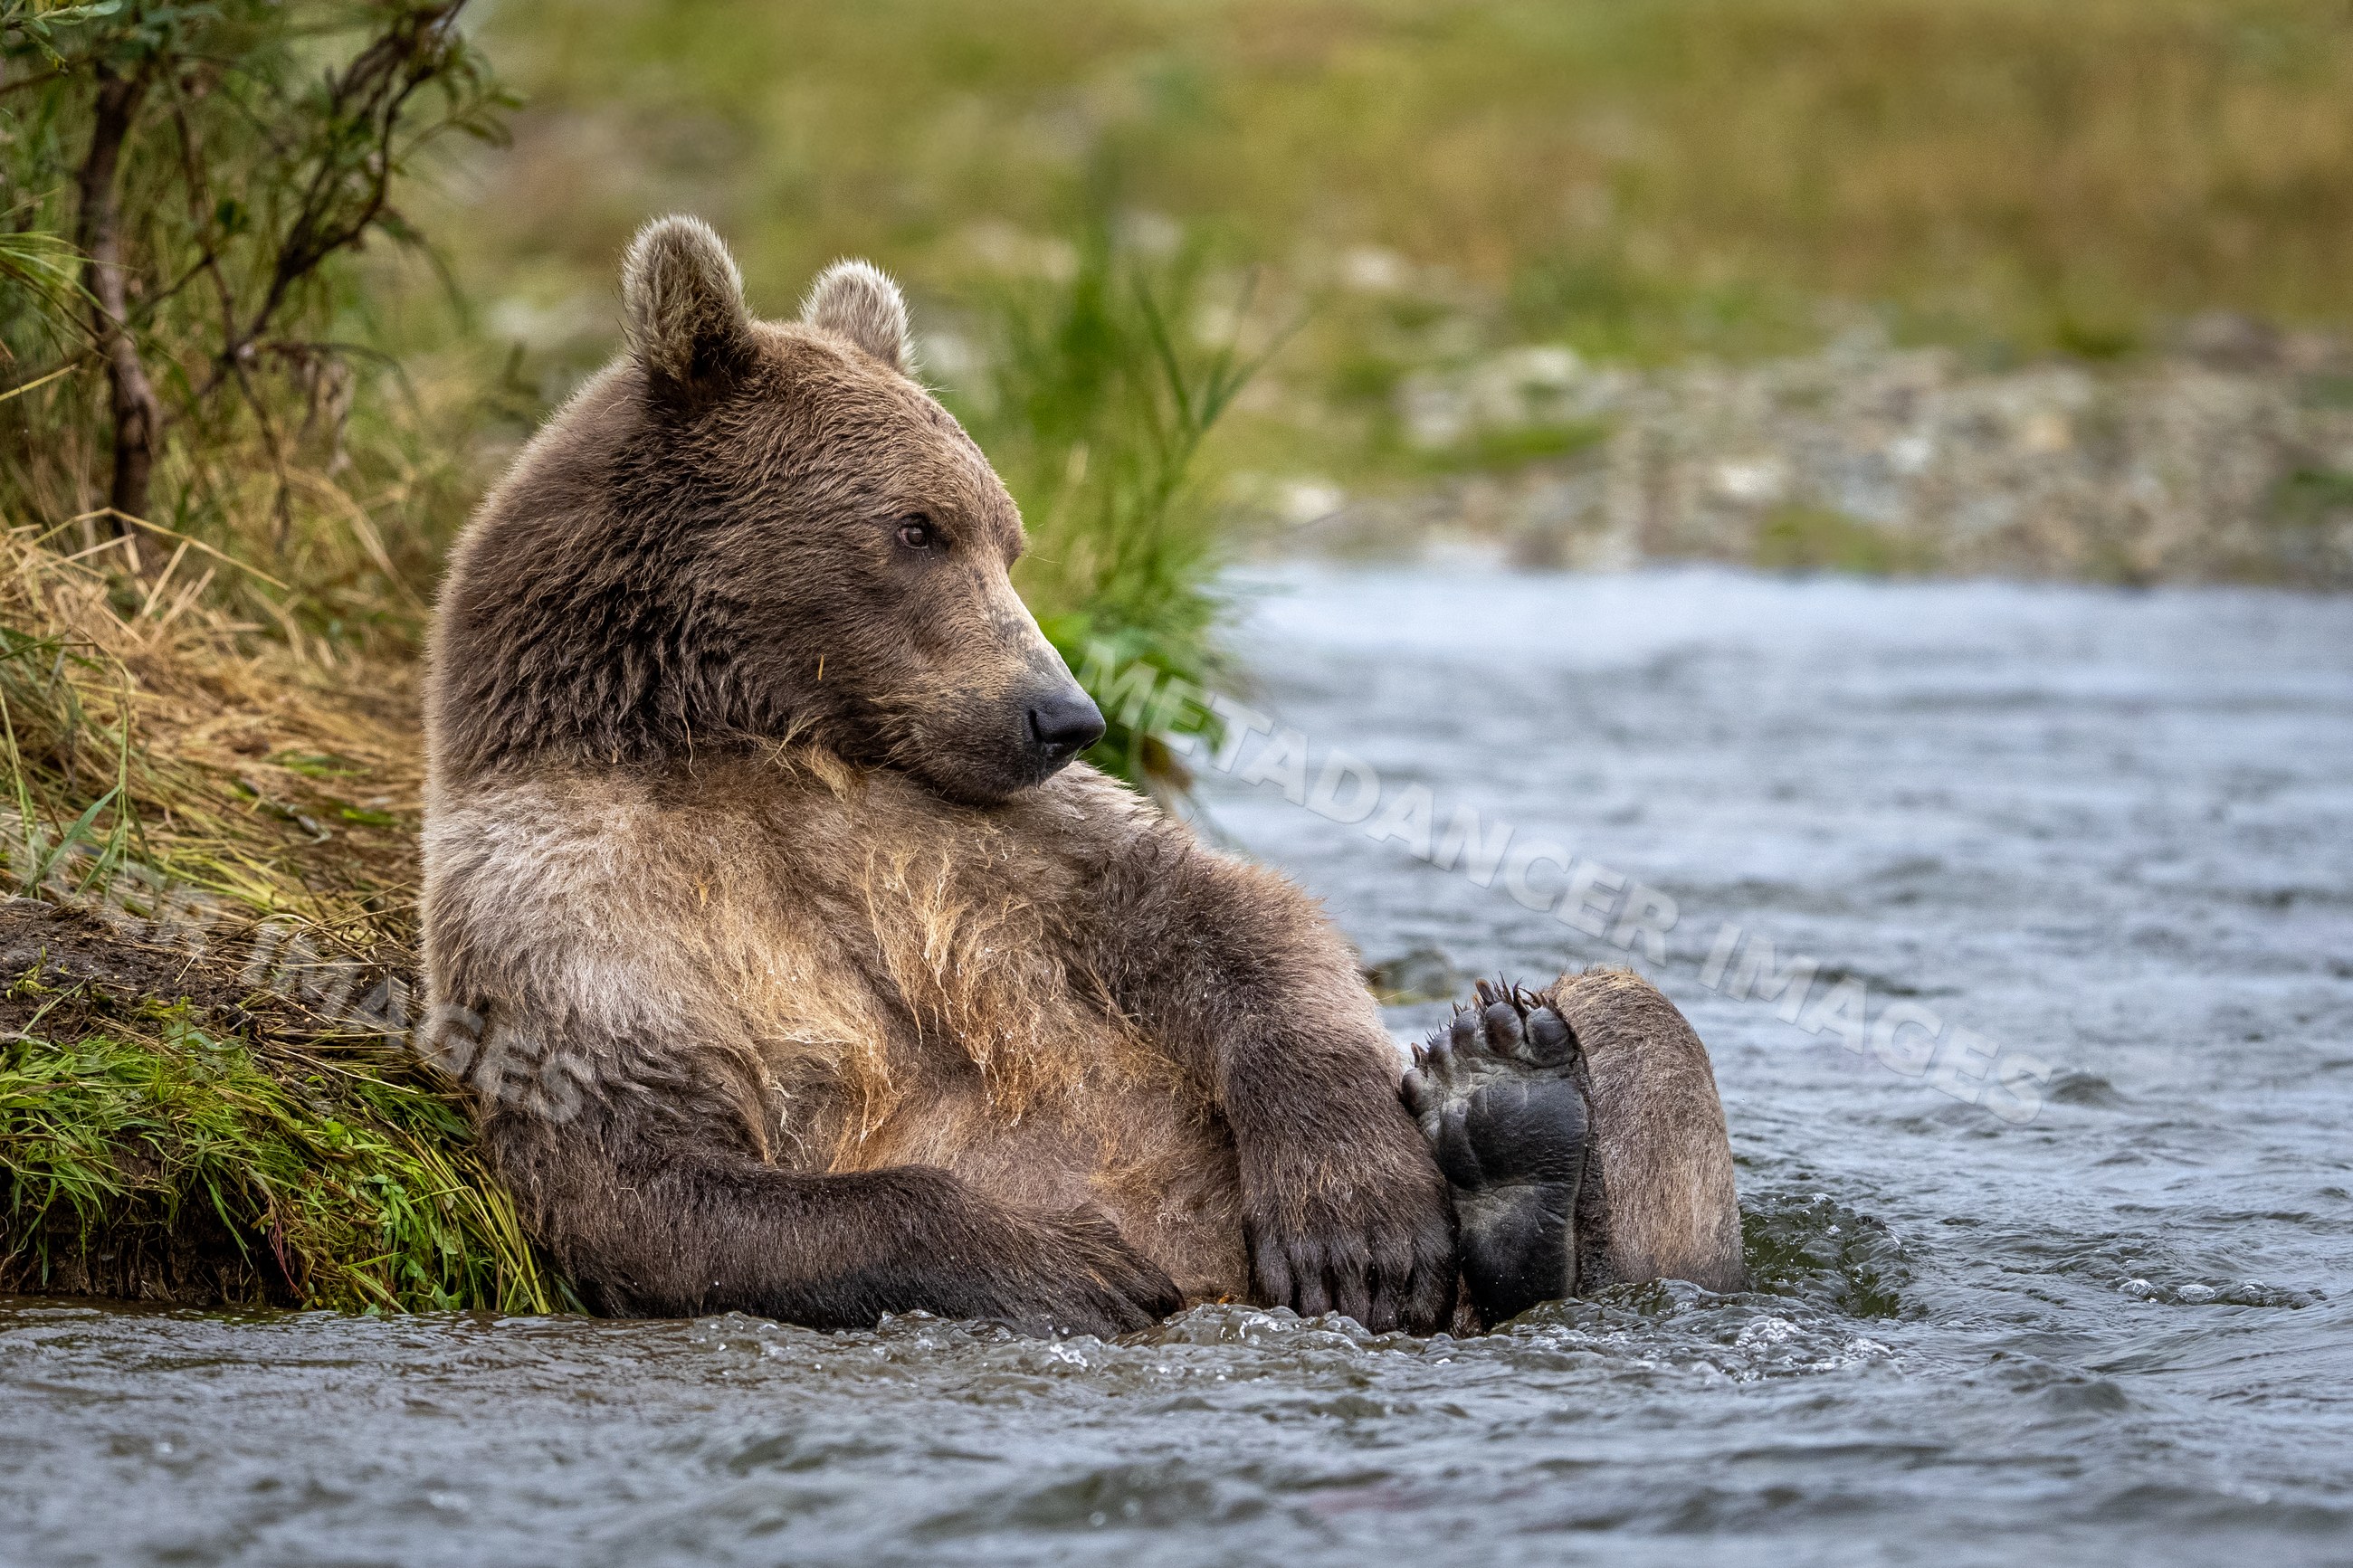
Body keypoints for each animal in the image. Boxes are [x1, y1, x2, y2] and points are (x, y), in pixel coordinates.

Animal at [420, 216, 1743, 1337]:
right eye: (915, 528)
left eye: (1006, 536)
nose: (1063, 712)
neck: (744, 740)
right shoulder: (580, 921)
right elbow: (648, 1182)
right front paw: (1075, 1262)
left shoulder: (979, 832)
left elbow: (1215, 915)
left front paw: (1355, 1218)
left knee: (1628, 1012)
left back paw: (1514, 1125)